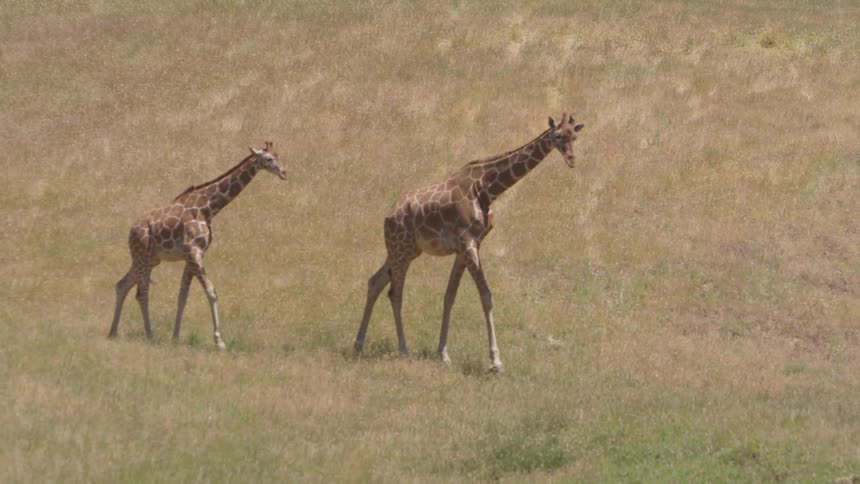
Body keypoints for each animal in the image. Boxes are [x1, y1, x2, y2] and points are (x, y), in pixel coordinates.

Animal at [108, 141, 287, 349]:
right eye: (268, 158)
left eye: (278, 155)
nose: (283, 172)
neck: (208, 208)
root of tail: (131, 231)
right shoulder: (194, 253)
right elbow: (212, 292)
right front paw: (219, 341)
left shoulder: (192, 256)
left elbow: (182, 296)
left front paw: (176, 337)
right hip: (143, 256)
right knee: (142, 293)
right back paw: (149, 335)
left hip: (149, 259)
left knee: (122, 284)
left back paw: (113, 332)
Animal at [354, 113, 585, 372]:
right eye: (558, 136)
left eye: (574, 136)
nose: (572, 159)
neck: (487, 188)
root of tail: (387, 216)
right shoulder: (468, 244)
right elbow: (486, 296)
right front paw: (496, 361)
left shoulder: (467, 247)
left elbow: (449, 296)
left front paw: (443, 354)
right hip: (401, 250)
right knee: (395, 293)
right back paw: (404, 350)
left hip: (406, 250)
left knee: (375, 282)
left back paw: (358, 344)